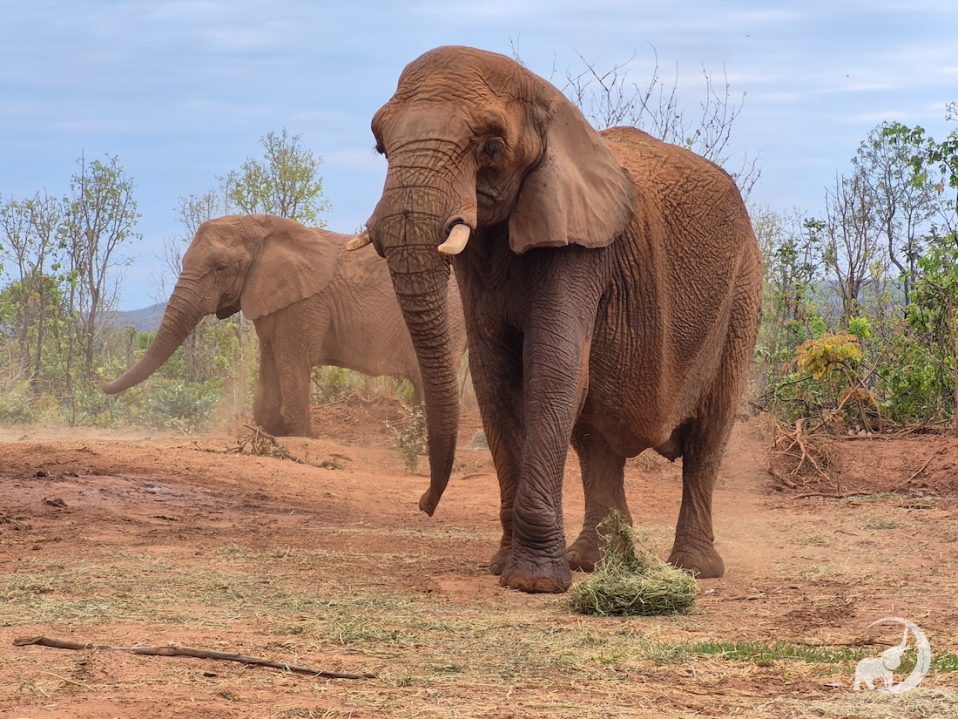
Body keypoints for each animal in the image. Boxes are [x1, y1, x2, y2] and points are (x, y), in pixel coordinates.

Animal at [102, 214, 467, 437]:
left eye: (221, 268)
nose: (102, 387)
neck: (261, 227)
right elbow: (270, 362)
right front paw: (271, 429)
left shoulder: (304, 305)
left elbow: (292, 362)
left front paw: (303, 435)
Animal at [354, 46, 762, 593]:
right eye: (380, 145)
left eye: (490, 146)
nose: (424, 504)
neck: (549, 102)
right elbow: (495, 378)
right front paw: (504, 566)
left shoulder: (583, 248)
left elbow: (553, 367)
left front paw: (533, 583)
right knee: (596, 437)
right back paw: (596, 561)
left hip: (742, 289)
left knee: (709, 432)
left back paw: (692, 569)